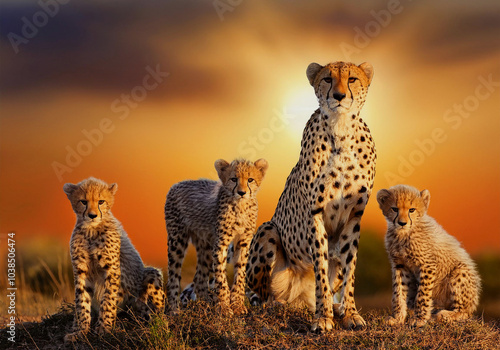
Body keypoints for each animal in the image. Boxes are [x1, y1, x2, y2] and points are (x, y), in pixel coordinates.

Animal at [246, 61, 376, 332]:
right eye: (327, 79)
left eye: (352, 79)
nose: (339, 96)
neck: (341, 128)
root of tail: (299, 300)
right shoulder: (315, 213)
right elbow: (320, 267)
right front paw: (323, 318)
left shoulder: (354, 217)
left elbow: (349, 270)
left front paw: (349, 313)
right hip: (267, 230)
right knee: (259, 296)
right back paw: (278, 305)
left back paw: (335, 308)